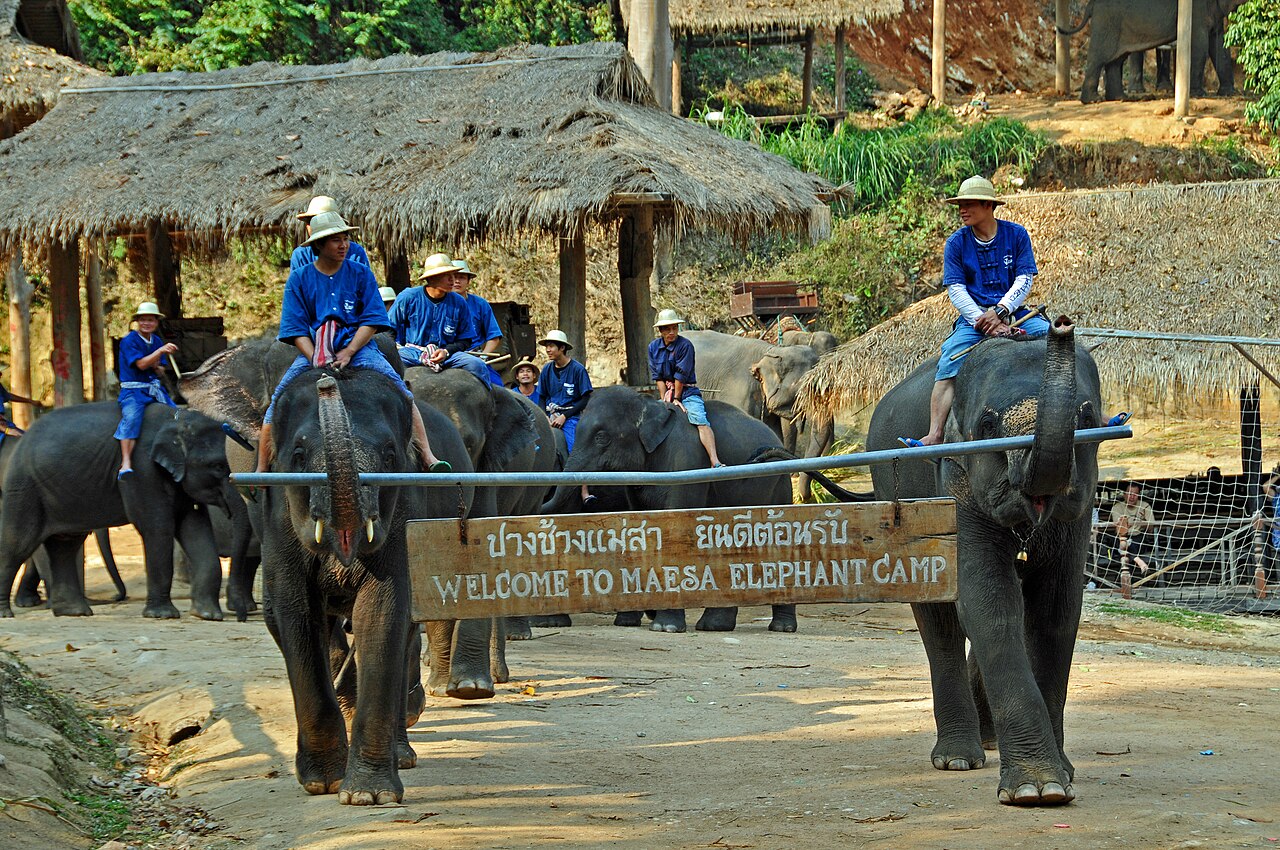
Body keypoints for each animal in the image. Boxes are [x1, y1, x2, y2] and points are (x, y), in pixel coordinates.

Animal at [0, 403, 235, 620]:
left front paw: (207, 615)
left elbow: (196, 528)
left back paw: (74, 612)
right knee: (18, 542)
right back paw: (7, 613)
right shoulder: (141, 470)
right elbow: (157, 528)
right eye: (218, 466)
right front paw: (162, 615)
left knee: (65, 544)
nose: (115, 598)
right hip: (24, 487)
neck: (177, 418)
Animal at [259, 365, 474, 805]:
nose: (328, 378)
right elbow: (297, 612)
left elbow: (381, 610)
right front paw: (323, 783)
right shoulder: (277, 520)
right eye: (298, 456)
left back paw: (401, 753)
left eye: (391, 456)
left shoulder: (405, 510)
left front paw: (368, 796)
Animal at [541, 386, 796, 634]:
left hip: (780, 484)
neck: (649, 405)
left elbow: (676, 530)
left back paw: (781, 627)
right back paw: (714, 626)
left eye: (601, 437)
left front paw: (665, 626)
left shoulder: (687, 462)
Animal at [864, 317, 1101, 805]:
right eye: (988, 424)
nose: (1061, 325)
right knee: (939, 621)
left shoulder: (1081, 511)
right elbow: (989, 604)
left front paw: (1062, 777)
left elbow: (1056, 612)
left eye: (1087, 420)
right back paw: (957, 758)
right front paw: (1037, 790)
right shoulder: (955, 480)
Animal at [1059, 0, 1242, 103]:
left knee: (1116, 60)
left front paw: (1228, 93)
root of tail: (1090, 5)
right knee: (1099, 57)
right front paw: (1199, 94)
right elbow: (1200, 45)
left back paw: (1119, 98)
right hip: (1106, 22)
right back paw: (1093, 101)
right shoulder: (1197, 10)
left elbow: (1219, 44)